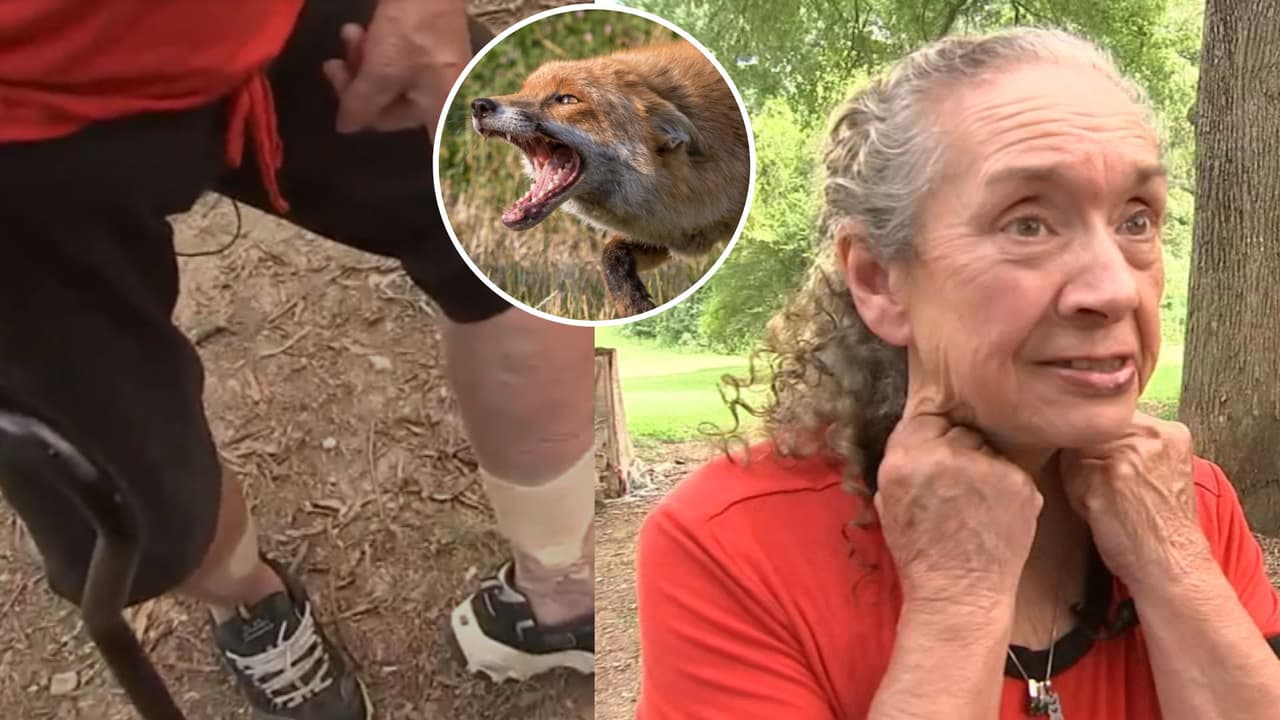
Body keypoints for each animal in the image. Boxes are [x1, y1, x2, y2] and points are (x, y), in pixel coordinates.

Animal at [469, 39, 750, 318]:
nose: (479, 106)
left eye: (567, 99)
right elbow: (611, 258)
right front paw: (635, 307)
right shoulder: (667, 232)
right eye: (523, 89)